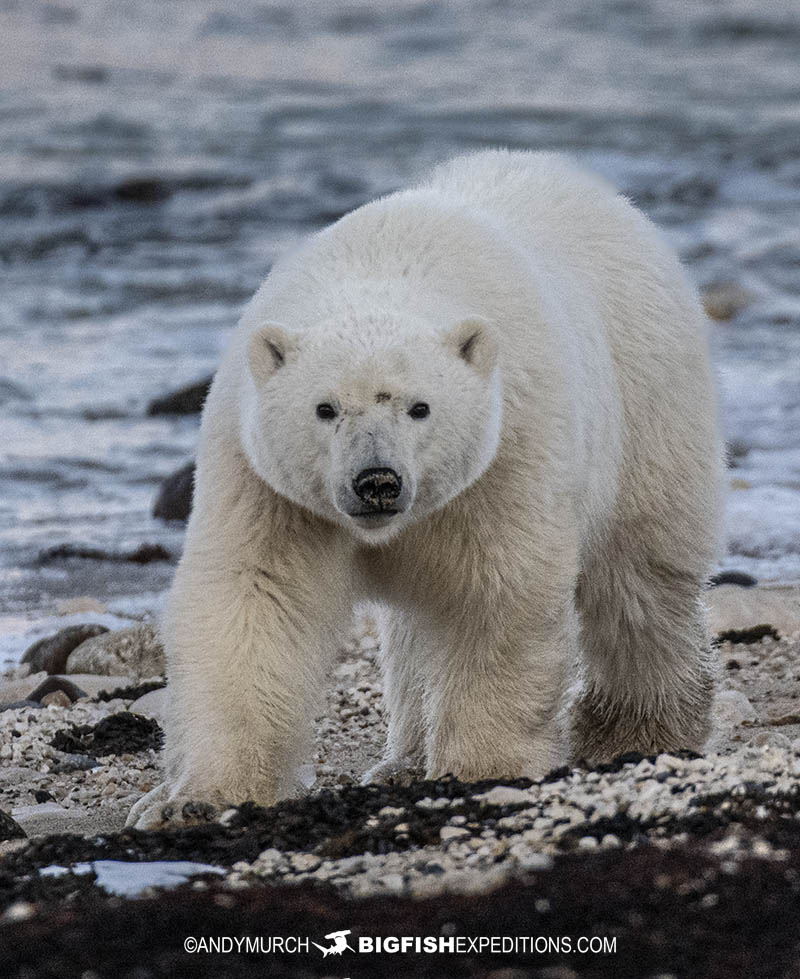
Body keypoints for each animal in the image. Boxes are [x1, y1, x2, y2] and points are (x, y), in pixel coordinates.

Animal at [128, 149, 722, 828]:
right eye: (325, 408)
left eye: (420, 408)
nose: (377, 482)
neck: (383, 270)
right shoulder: (264, 483)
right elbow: (255, 598)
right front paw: (198, 799)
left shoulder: (508, 451)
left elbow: (497, 592)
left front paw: (485, 766)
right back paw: (404, 759)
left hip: (647, 397)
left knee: (639, 578)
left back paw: (638, 731)